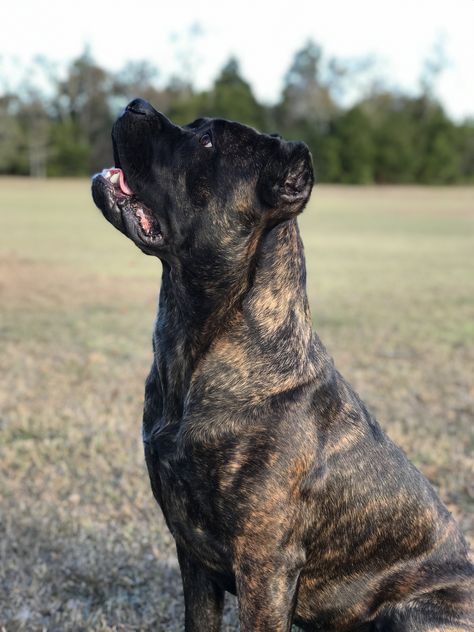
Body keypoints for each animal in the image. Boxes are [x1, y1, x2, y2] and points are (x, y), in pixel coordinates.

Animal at [90, 97, 472, 628]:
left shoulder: (264, 565)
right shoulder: (194, 557)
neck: (195, 350)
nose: (136, 104)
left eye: (207, 142)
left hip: (411, 613)